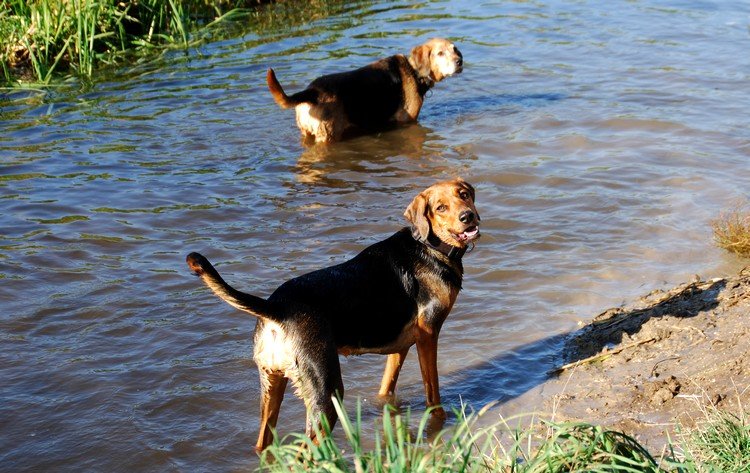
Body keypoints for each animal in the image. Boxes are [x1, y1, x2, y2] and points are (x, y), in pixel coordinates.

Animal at [187, 179, 482, 452]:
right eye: (440, 208)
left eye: (464, 195)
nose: (468, 216)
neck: (430, 246)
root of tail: (276, 309)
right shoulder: (428, 335)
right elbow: (433, 392)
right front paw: (441, 419)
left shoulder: (401, 346)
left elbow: (386, 386)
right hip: (326, 392)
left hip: (272, 382)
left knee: (264, 444)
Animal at [264, 37, 464, 142]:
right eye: (440, 53)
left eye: (455, 50)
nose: (459, 62)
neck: (415, 70)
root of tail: (312, 92)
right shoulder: (407, 120)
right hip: (328, 135)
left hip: (306, 133)